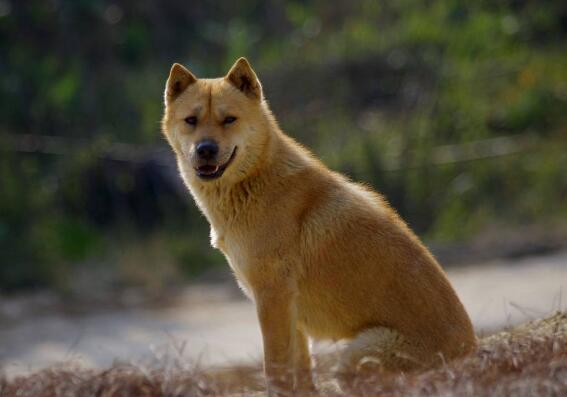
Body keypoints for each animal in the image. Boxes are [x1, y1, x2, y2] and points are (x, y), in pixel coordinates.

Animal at [162, 57, 478, 394]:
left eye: (229, 120)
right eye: (191, 120)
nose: (205, 149)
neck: (256, 180)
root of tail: (471, 355)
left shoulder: (272, 300)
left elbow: (274, 368)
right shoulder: (291, 314)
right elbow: (300, 372)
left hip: (354, 360)